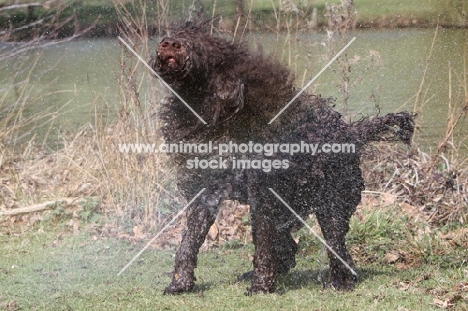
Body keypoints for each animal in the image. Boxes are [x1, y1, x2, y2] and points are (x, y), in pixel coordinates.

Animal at [149, 21, 414, 294]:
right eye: (177, 35)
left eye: (201, 45)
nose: (169, 44)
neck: (219, 113)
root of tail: (351, 132)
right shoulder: (206, 191)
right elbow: (188, 243)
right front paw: (179, 283)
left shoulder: (262, 193)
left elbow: (263, 244)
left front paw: (260, 286)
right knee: (291, 247)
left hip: (332, 201)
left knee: (335, 244)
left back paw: (341, 280)